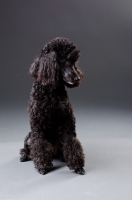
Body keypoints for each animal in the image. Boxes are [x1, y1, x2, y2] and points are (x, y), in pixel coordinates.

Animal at [20, 37, 85, 175]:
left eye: (74, 62)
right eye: (65, 61)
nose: (77, 78)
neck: (51, 92)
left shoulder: (68, 121)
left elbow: (72, 142)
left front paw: (77, 166)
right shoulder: (37, 125)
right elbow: (39, 145)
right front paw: (42, 166)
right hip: (29, 136)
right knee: (28, 148)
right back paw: (24, 155)